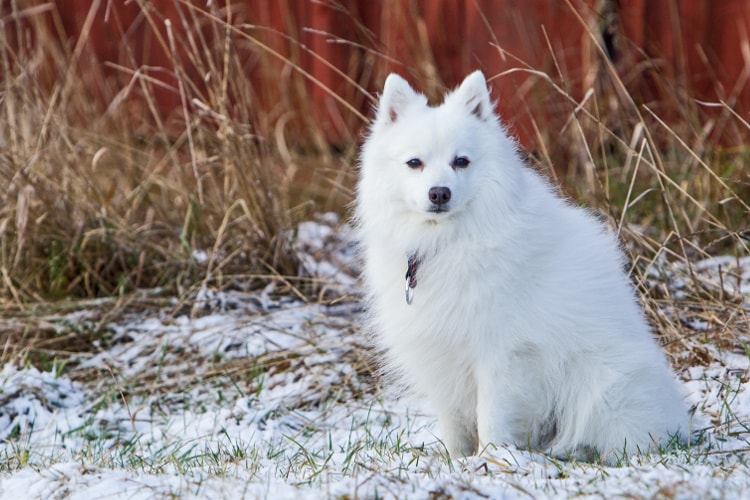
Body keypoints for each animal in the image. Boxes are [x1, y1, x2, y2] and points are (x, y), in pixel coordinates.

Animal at [356, 71, 692, 464]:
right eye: (414, 163)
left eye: (461, 162)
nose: (439, 193)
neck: (448, 243)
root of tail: (676, 422)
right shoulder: (442, 354)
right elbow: (454, 422)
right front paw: (455, 461)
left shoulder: (500, 353)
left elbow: (491, 414)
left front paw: (492, 458)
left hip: (605, 383)